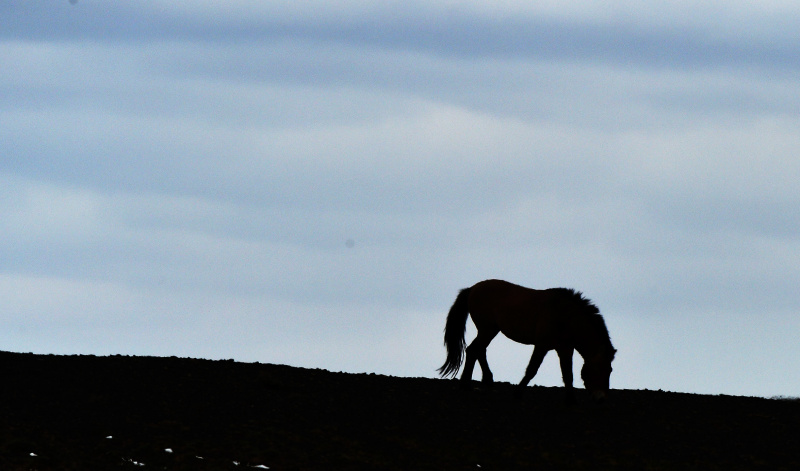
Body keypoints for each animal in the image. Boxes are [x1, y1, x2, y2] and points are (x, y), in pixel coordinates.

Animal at [437, 279, 616, 404]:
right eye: (601, 369)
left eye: (610, 370)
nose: (601, 399)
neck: (565, 316)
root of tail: (472, 288)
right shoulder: (542, 346)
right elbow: (532, 370)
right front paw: (517, 393)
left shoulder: (565, 349)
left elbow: (568, 374)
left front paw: (571, 400)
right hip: (487, 330)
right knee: (473, 350)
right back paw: (466, 384)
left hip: (490, 330)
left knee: (479, 350)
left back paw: (487, 380)